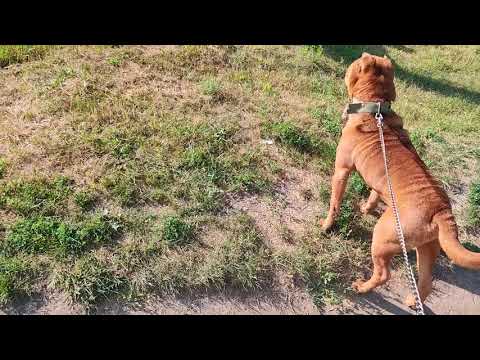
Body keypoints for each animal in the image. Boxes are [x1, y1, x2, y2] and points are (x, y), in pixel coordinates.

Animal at [318, 52, 480, 306]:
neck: (375, 106)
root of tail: (441, 211)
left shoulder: (341, 171)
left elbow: (334, 203)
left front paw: (326, 225)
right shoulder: (377, 182)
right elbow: (373, 195)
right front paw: (366, 208)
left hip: (383, 237)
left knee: (384, 274)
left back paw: (362, 287)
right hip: (427, 247)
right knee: (426, 281)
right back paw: (413, 301)